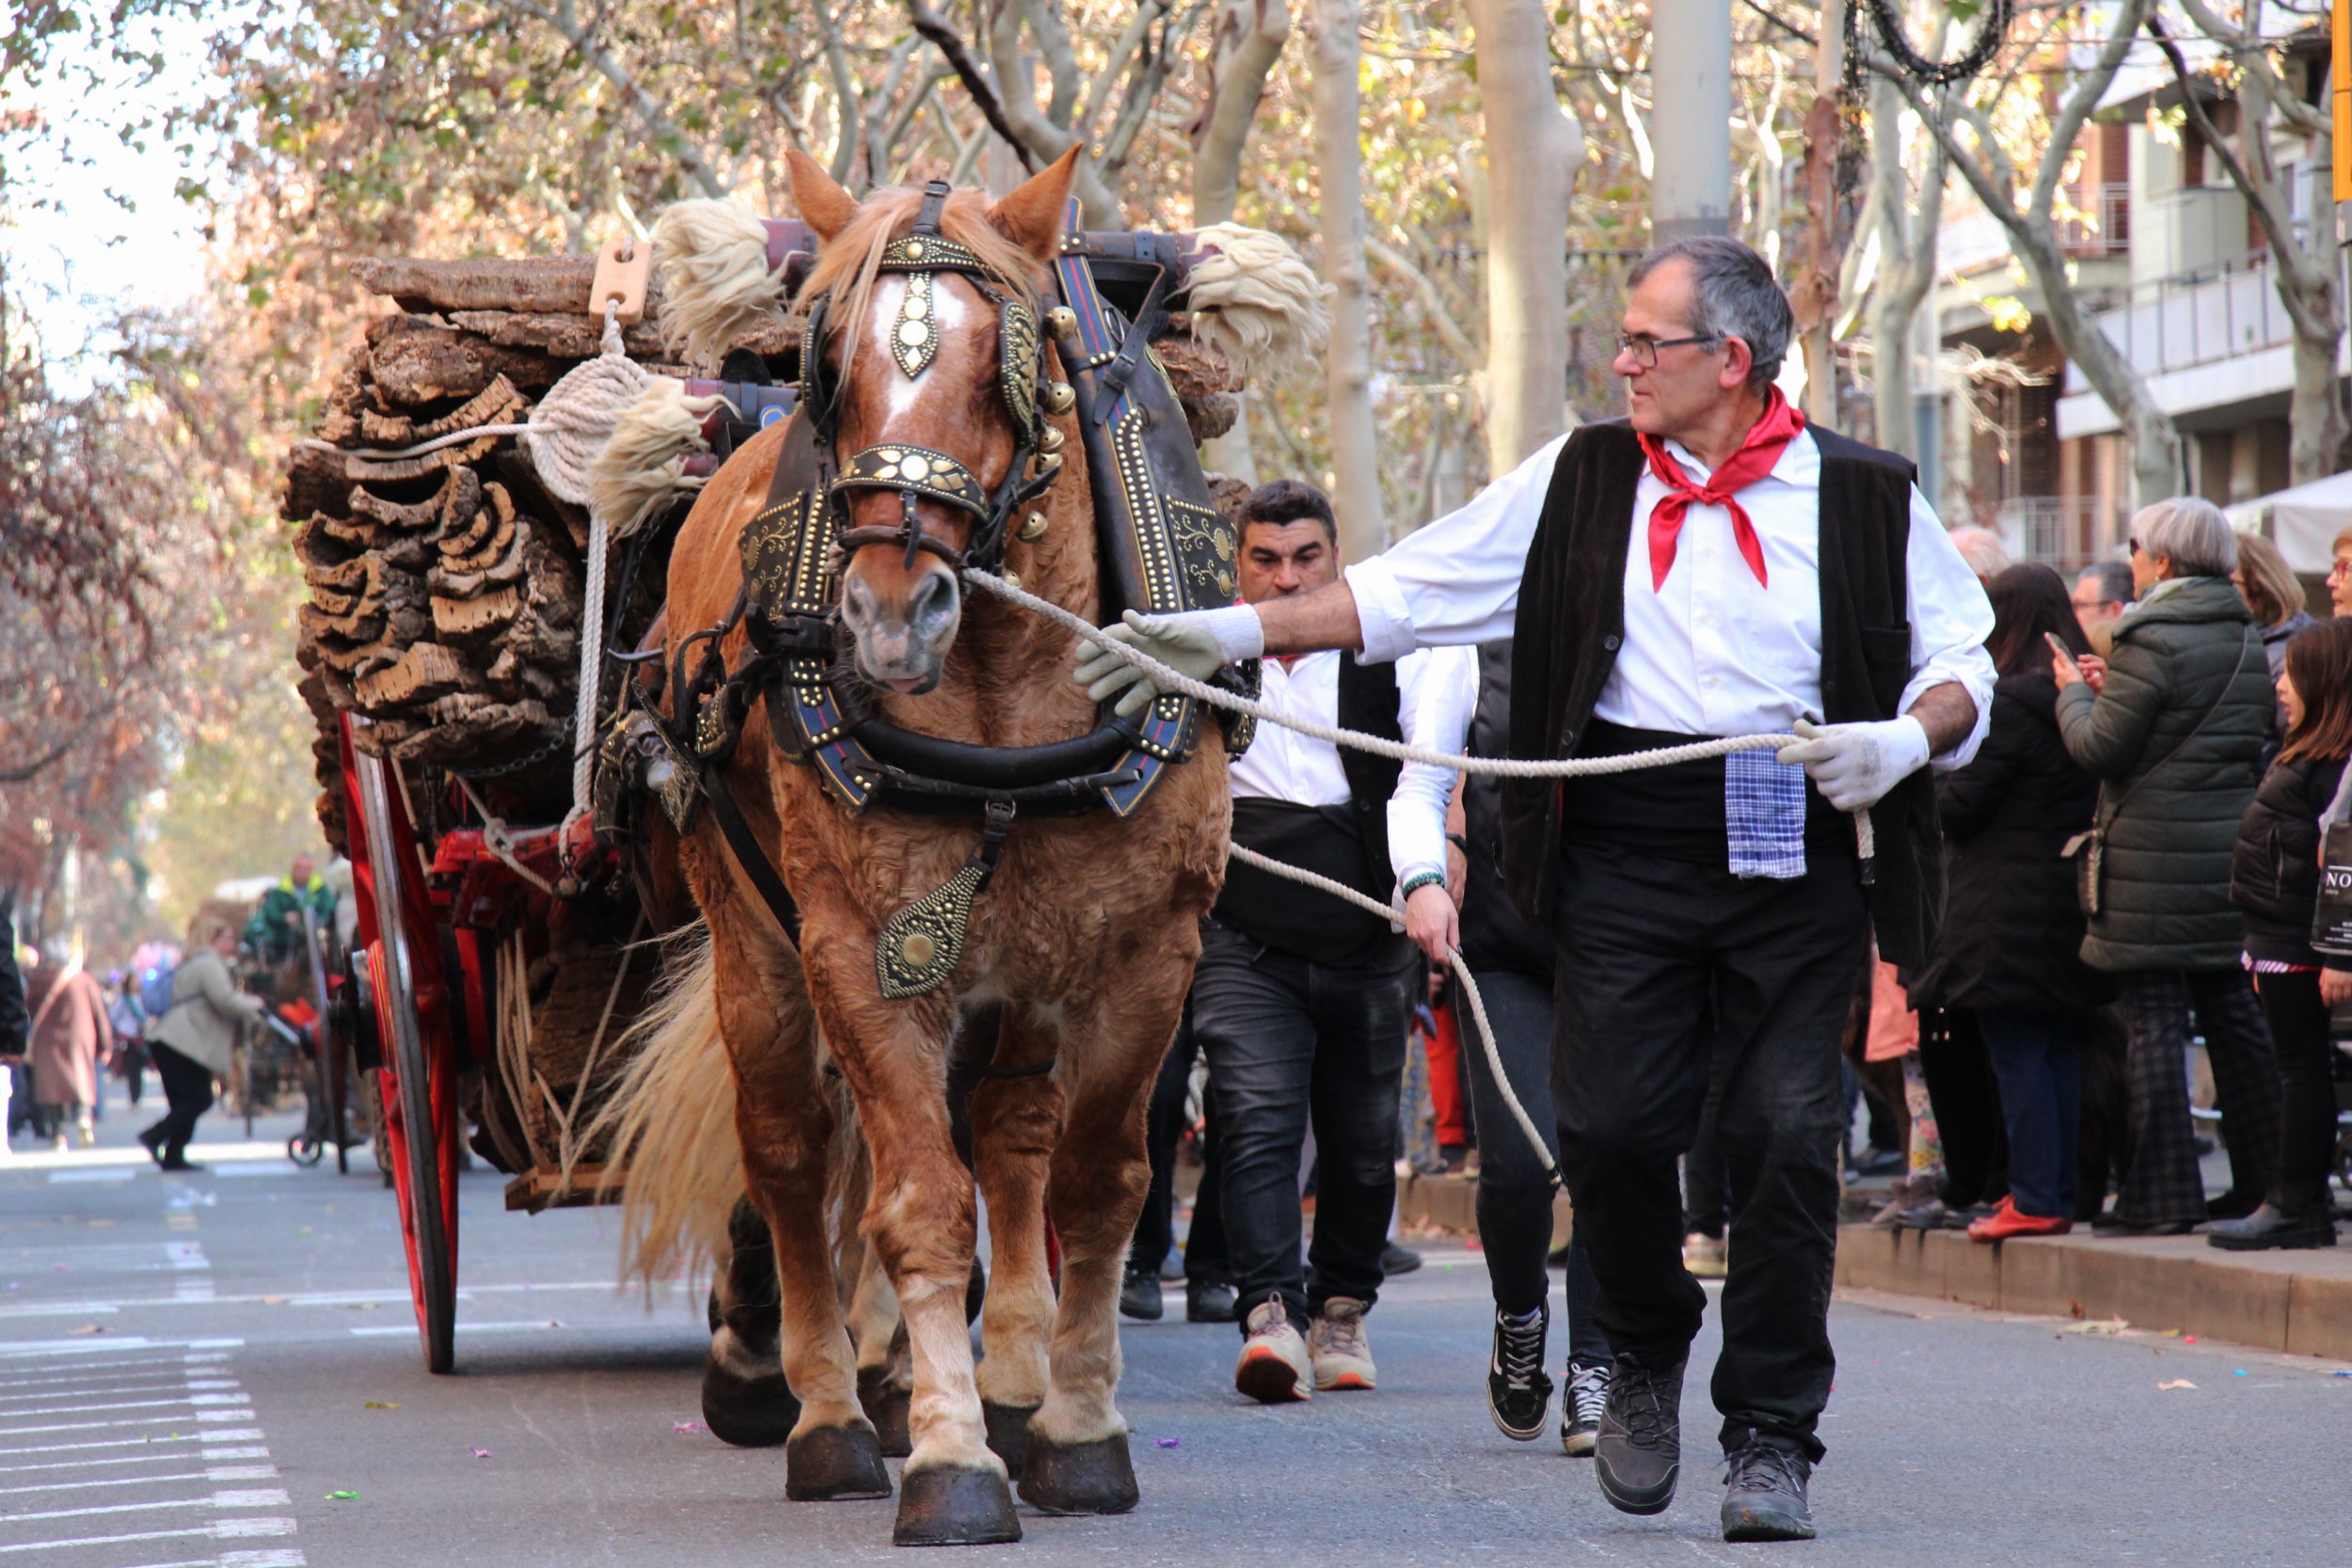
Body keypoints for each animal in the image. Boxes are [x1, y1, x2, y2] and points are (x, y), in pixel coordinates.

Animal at [654, 152, 1223, 1551]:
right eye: (830, 364)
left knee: (1009, 1137)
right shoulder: (862, 949)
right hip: (756, 934)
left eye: (999, 366)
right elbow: (915, 1201)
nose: (886, 613)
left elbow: (1096, 1183)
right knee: (794, 1148)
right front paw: (949, 1456)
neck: (1004, 694)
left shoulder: (1146, 955)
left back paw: (999, 1372)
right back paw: (824, 1406)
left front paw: (1072, 1427)